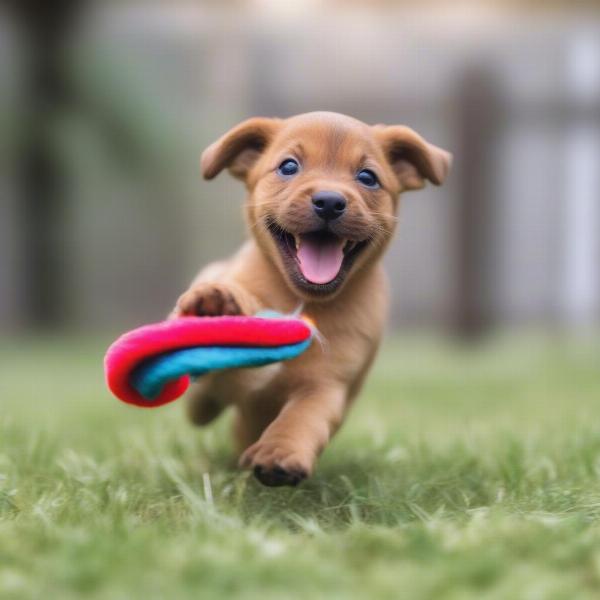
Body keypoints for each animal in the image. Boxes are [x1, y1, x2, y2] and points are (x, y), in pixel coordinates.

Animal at [170, 111, 450, 488]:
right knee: (202, 408)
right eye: (289, 166)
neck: (300, 298)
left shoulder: (328, 384)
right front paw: (216, 305)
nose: (330, 201)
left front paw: (281, 452)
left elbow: (304, 417)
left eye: (367, 177)